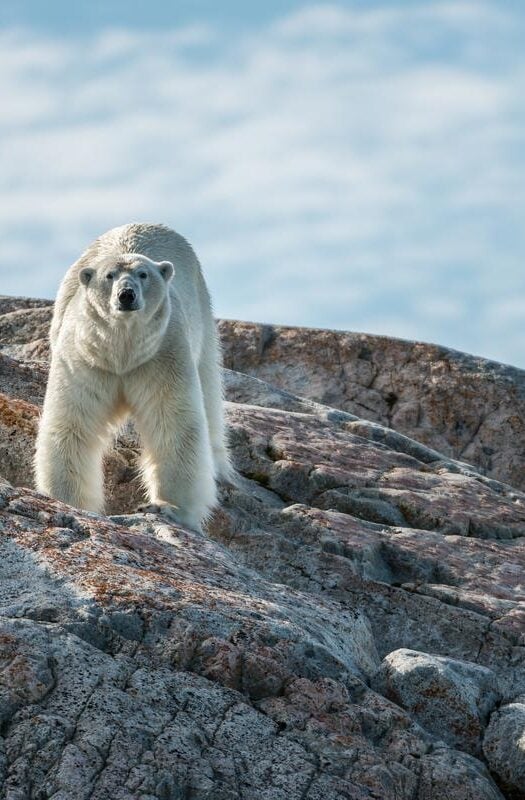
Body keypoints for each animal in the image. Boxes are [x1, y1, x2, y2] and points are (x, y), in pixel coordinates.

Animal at [32, 222, 229, 532]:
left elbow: (173, 421)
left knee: (209, 386)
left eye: (143, 274)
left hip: (201, 310)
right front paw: (66, 500)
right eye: (109, 275)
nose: (126, 294)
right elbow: (73, 422)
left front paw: (169, 508)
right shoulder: (84, 358)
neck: (122, 351)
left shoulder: (161, 354)